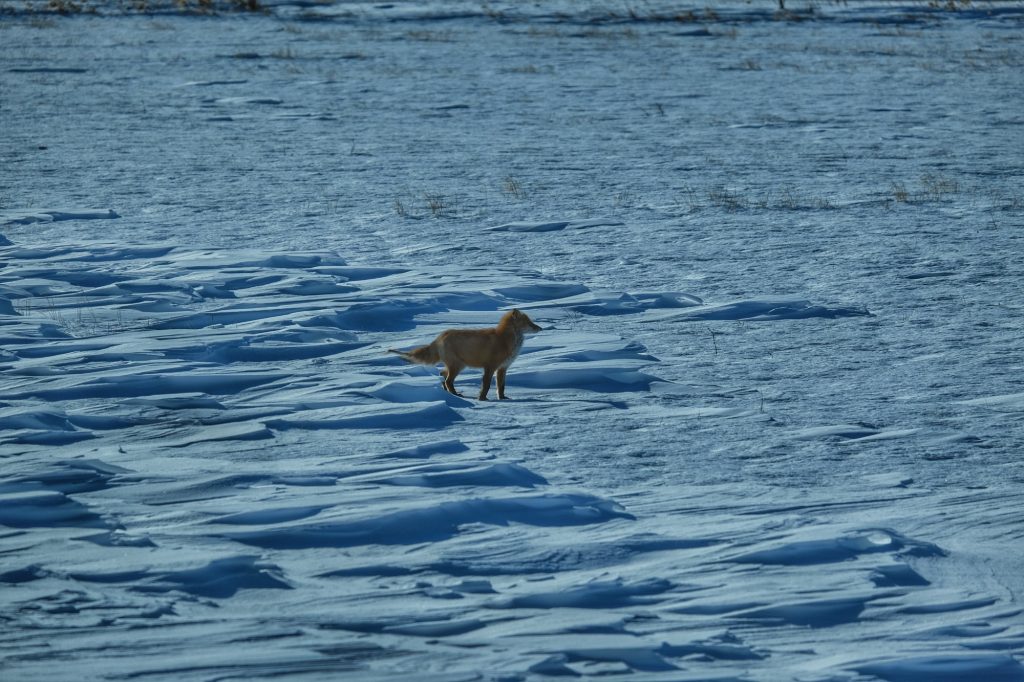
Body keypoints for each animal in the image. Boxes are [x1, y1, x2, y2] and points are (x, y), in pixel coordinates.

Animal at [389, 309, 542, 401]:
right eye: (528, 323)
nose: (540, 328)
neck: (505, 340)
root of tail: (439, 337)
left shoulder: (502, 368)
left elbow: (501, 387)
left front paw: (502, 399)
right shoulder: (490, 367)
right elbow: (486, 386)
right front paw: (482, 399)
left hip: (457, 366)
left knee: (443, 375)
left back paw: (451, 394)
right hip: (457, 366)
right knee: (448, 381)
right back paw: (455, 395)